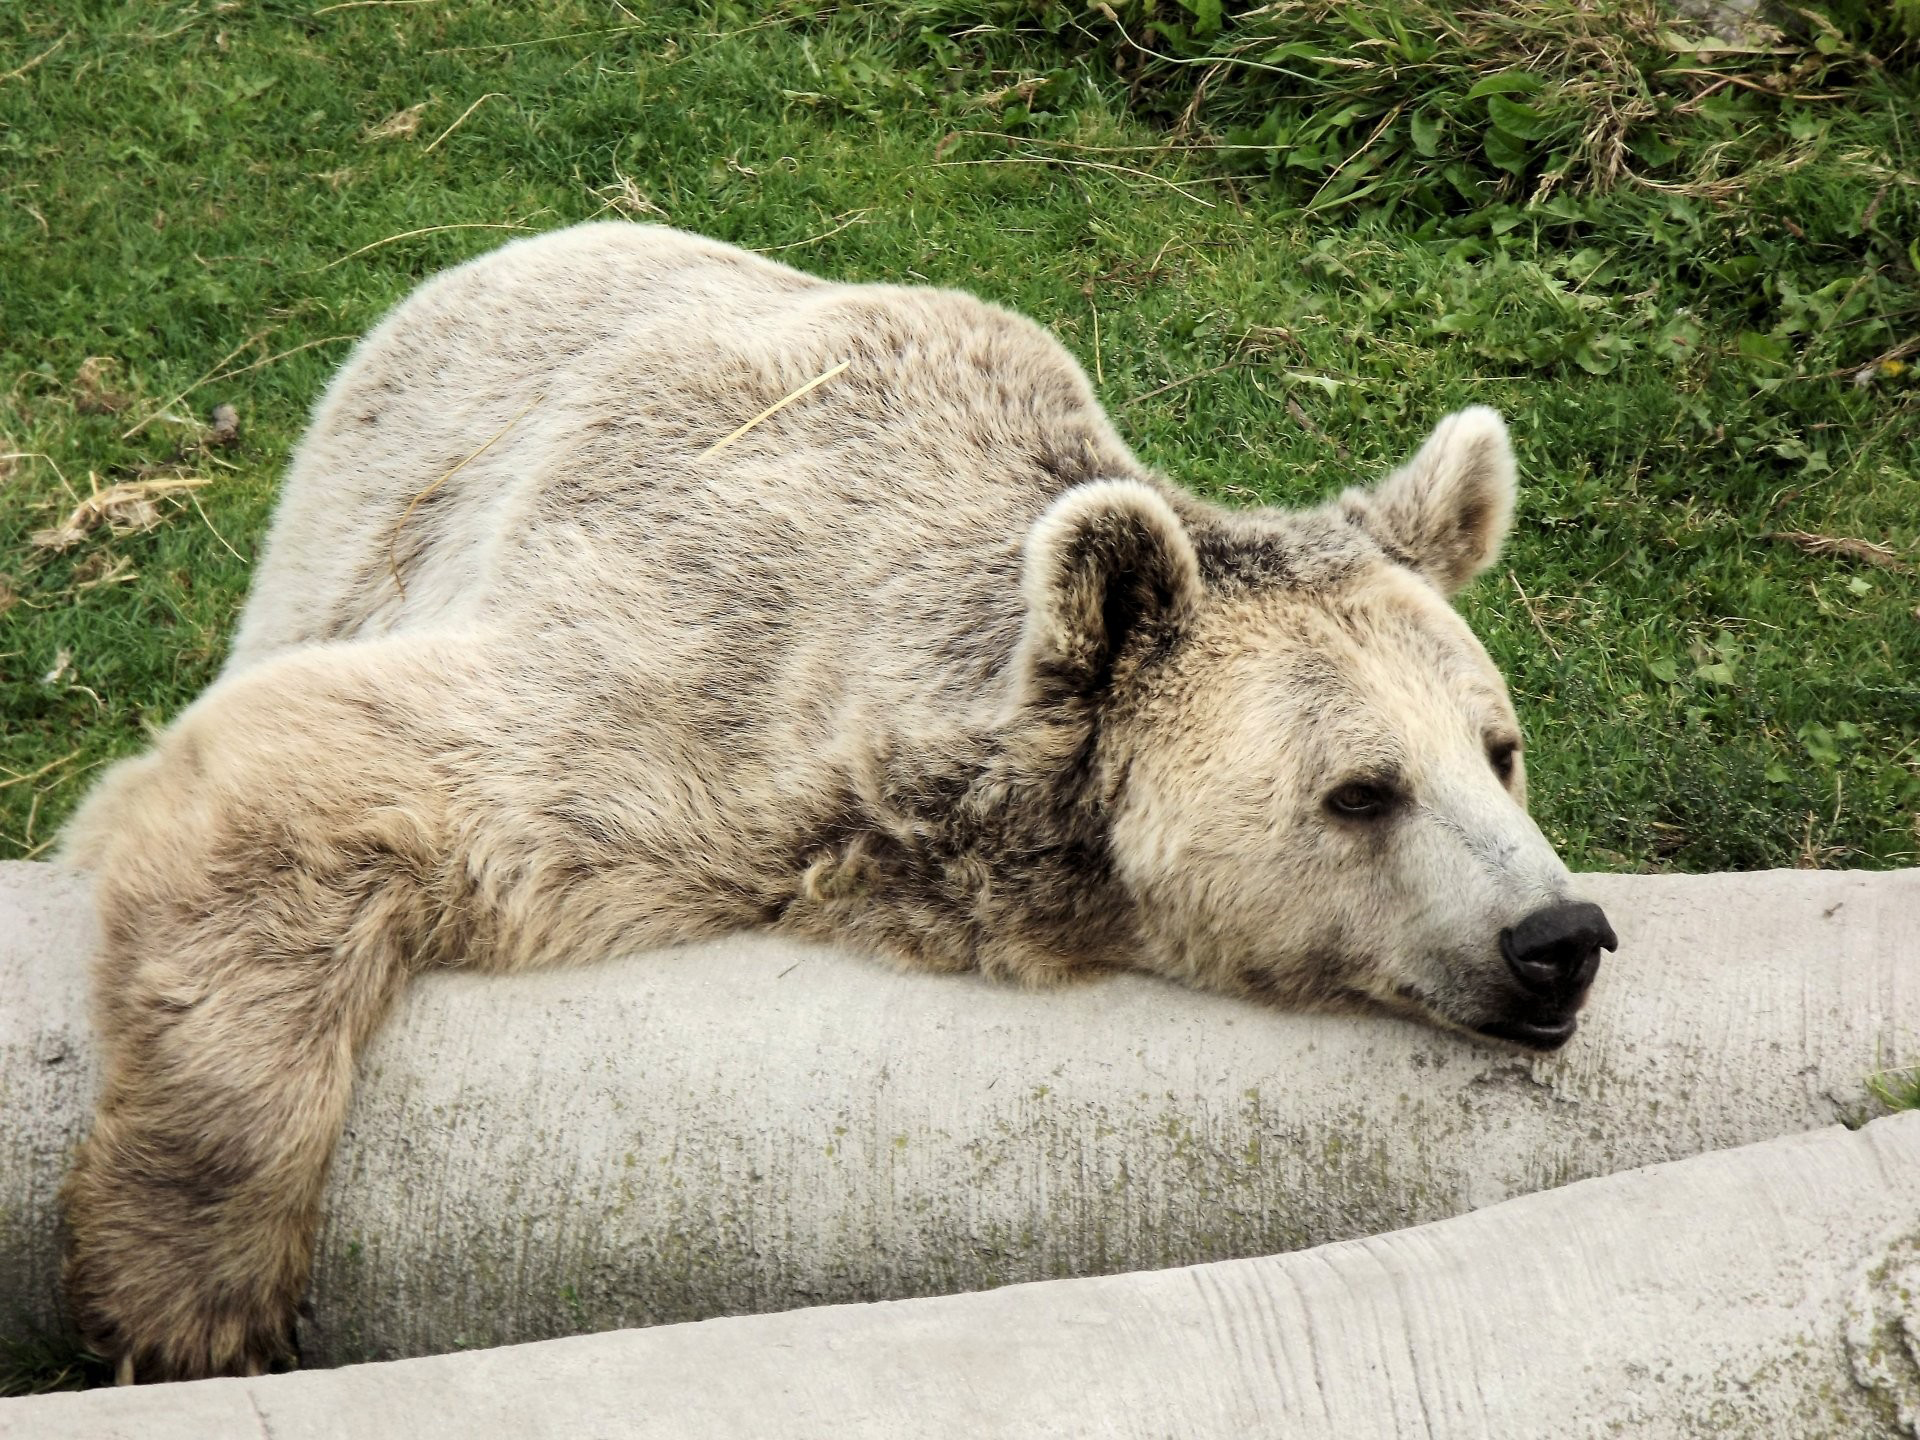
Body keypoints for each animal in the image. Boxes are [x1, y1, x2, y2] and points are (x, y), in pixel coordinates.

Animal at [60, 225, 1612, 1390]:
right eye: (1362, 790)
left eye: (1499, 749)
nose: (1560, 938)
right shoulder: (699, 679)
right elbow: (324, 774)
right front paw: (188, 1303)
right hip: (366, 513)